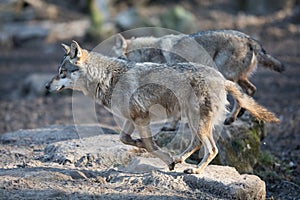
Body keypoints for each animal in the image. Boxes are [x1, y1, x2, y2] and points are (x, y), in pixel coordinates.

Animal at [45, 40, 280, 173]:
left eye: (62, 73)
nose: (46, 86)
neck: (107, 78)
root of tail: (222, 79)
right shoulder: (131, 120)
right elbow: (125, 139)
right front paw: (143, 145)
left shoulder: (141, 118)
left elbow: (149, 146)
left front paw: (165, 159)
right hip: (193, 121)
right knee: (197, 143)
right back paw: (181, 159)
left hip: (197, 121)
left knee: (212, 149)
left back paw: (196, 170)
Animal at [113, 29, 286, 125]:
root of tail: (249, 39)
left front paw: (170, 126)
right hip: (236, 78)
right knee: (250, 91)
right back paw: (238, 115)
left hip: (225, 75)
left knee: (242, 92)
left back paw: (231, 118)